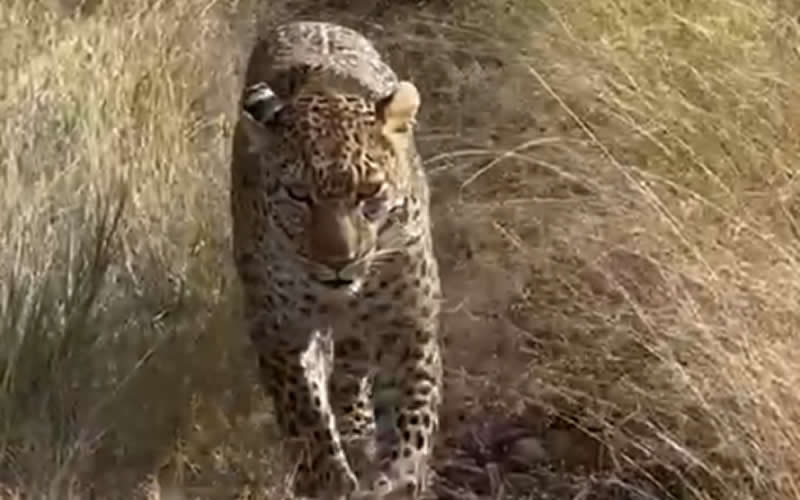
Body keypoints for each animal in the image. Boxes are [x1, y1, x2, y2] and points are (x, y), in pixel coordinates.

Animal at [230, 21, 443, 499]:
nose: (338, 261)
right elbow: (306, 418)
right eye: (298, 195)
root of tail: (311, 23)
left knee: (352, 371)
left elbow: (413, 419)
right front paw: (329, 479)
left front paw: (397, 477)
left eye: (369, 193)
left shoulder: (409, 323)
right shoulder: (280, 331)